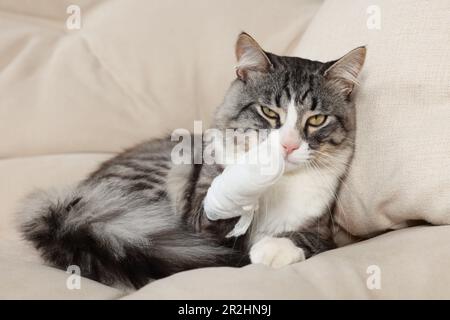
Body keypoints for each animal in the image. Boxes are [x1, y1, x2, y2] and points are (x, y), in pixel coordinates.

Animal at [17, 33, 366, 290]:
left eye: (317, 119)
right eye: (269, 113)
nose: (288, 145)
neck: (279, 186)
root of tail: (74, 200)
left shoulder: (325, 231)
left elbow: (305, 238)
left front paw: (274, 248)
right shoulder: (201, 224)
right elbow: (223, 212)